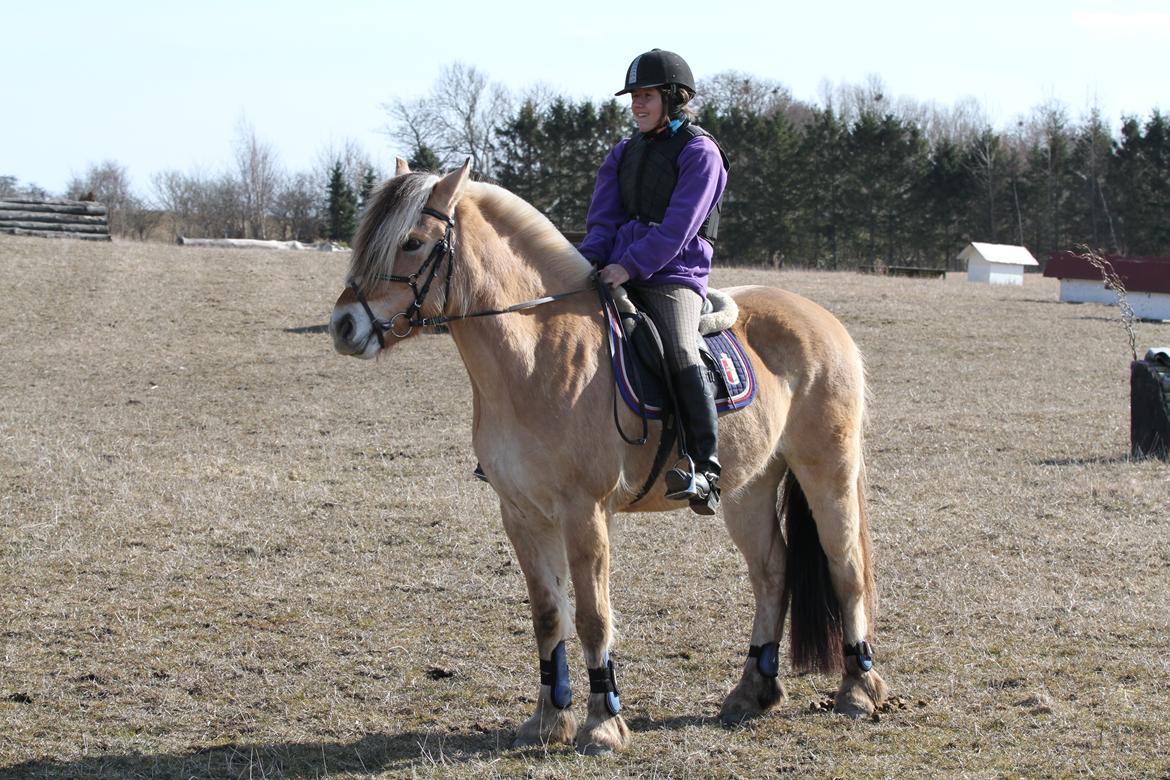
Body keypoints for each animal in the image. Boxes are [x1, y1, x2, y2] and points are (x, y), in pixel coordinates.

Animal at [329, 160, 884, 757]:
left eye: (411, 242)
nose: (343, 325)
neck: (534, 355)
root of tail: (824, 320)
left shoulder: (585, 511)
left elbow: (594, 617)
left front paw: (602, 723)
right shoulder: (521, 514)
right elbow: (549, 615)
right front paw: (548, 719)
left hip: (827, 471)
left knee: (846, 568)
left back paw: (858, 689)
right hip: (749, 488)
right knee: (771, 572)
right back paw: (752, 690)